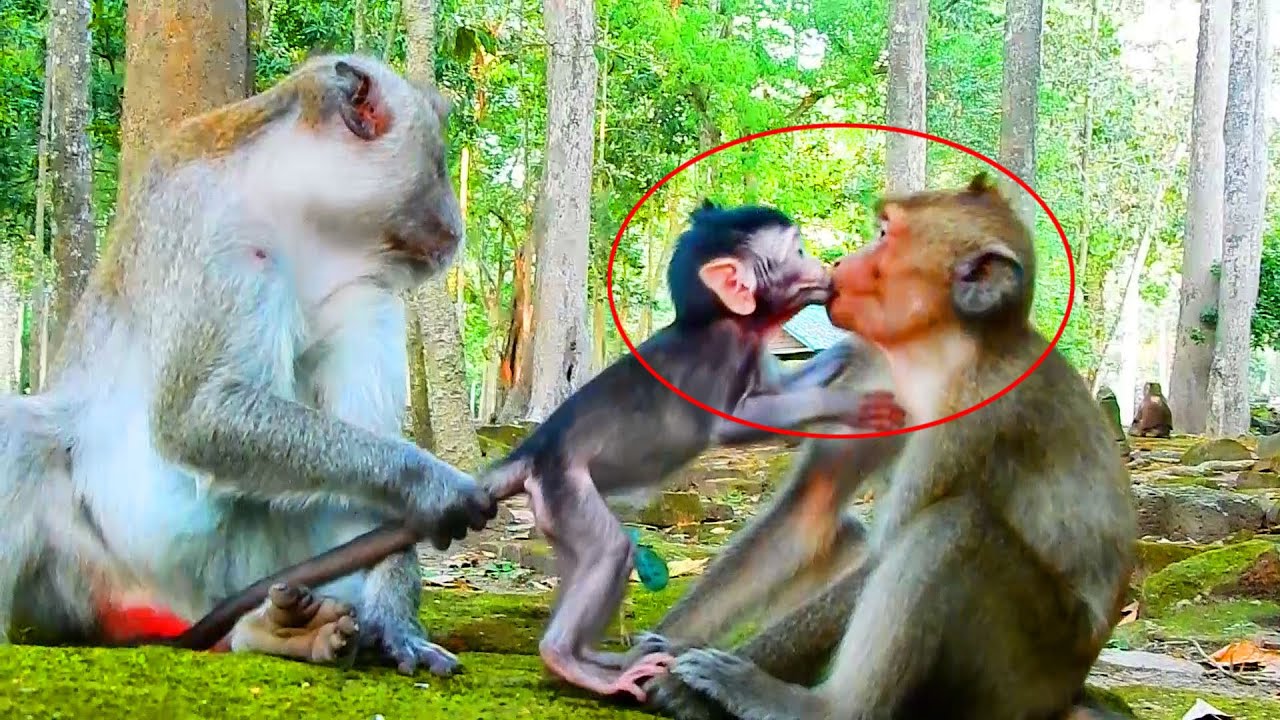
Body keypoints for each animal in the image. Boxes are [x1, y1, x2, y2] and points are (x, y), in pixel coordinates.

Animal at [0, 54, 499, 677]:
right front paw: (431, 482)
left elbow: (369, 438)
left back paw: (279, 631)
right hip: (82, 579)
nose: (456, 229)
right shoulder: (214, 229)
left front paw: (395, 615)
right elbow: (200, 414)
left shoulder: (366, 290)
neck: (305, 216)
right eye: (438, 162)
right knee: (23, 434)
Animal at [626, 173, 1137, 720]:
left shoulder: (985, 414)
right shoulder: (876, 371)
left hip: (1022, 676)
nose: (839, 264)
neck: (940, 354)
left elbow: (888, 552)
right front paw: (650, 648)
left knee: (950, 529)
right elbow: (809, 510)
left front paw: (677, 683)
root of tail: (1070, 692)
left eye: (886, 236)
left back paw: (814, 706)